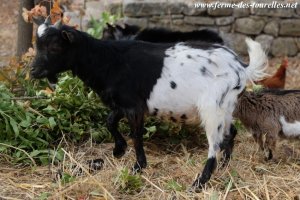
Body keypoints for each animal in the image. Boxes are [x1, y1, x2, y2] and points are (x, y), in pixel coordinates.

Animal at [31, 18, 268, 188]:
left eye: (54, 47)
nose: (33, 71)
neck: (109, 60)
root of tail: (241, 67)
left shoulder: (134, 107)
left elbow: (136, 135)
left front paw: (138, 167)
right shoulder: (123, 103)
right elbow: (110, 122)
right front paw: (118, 150)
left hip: (212, 108)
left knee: (215, 143)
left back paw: (199, 182)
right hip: (225, 107)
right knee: (231, 133)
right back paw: (226, 166)